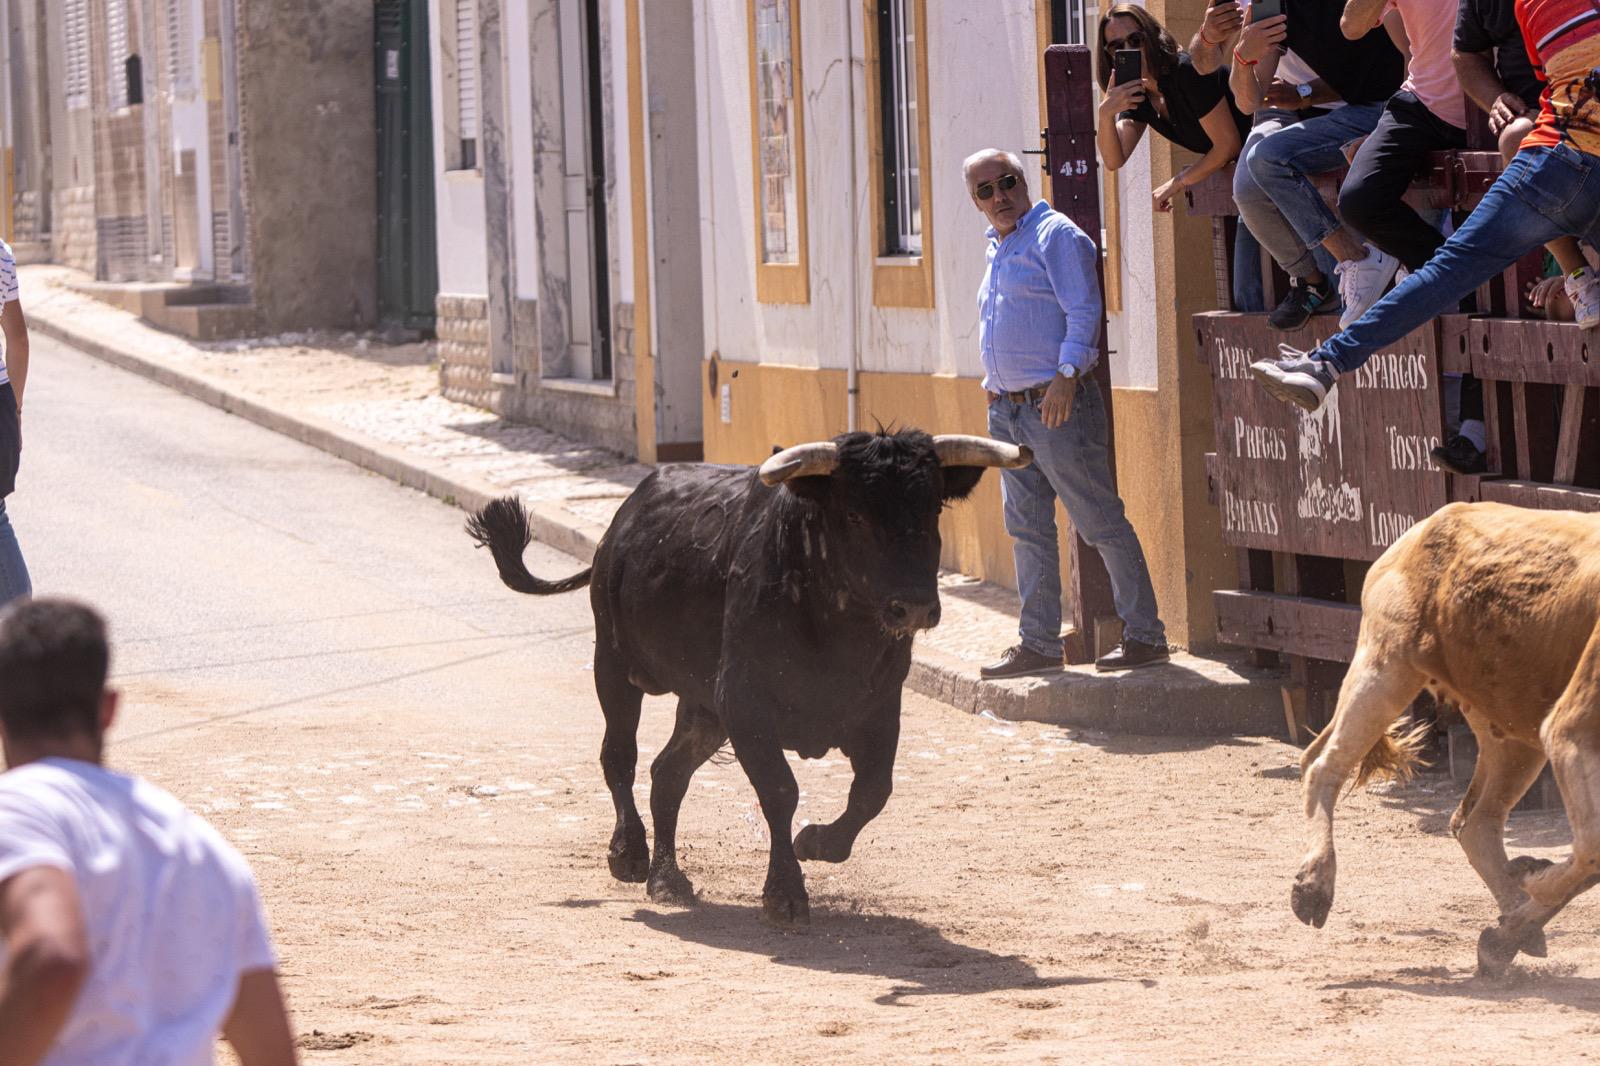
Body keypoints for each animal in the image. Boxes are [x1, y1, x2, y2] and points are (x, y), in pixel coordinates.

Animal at [467, 429, 1030, 925]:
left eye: (932, 508)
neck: (834, 626)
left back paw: (666, 878)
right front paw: (785, 895)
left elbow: (873, 790)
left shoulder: (878, 709)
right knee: (619, 757)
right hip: (614, 665)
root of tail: (620, 524)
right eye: (854, 512)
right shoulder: (747, 706)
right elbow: (780, 791)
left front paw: (818, 842)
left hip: (702, 707)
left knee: (667, 773)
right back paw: (629, 854)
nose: (913, 607)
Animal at [1291, 500, 1600, 975]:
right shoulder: (1571, 730)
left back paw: (1512, 930)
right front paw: (1534, 879)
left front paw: (1510, 919)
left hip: (1510, 729)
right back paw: (1313, 887)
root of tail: (1414, 532)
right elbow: (1592, 847)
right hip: (1387, 664)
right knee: (1323, 764)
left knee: (1475, 822)